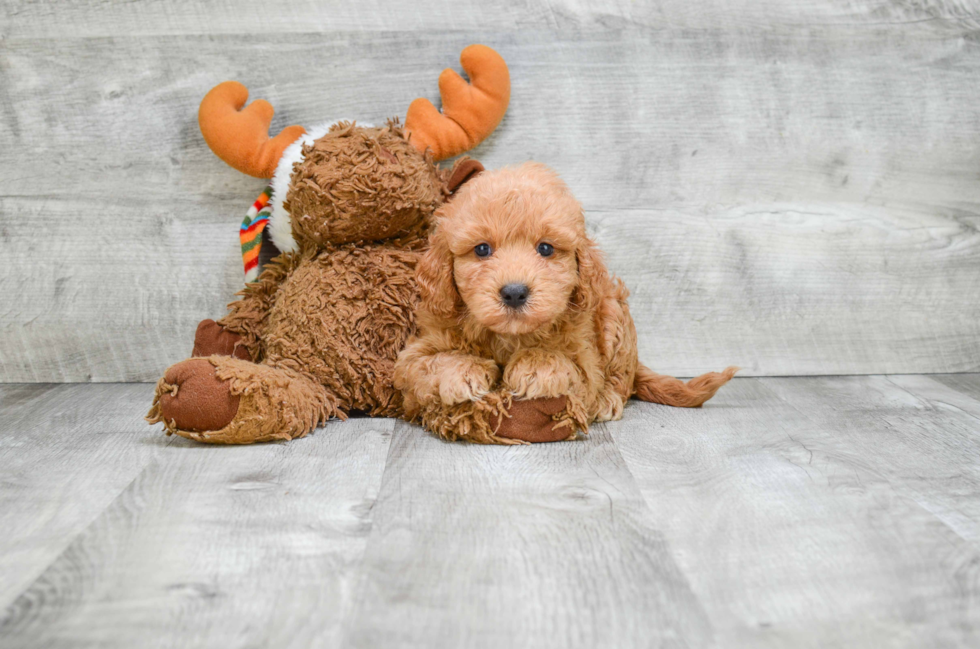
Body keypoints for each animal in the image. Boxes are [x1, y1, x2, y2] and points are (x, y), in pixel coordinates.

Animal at [392, 163, 736, 446]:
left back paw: (610, 398)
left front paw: (535, 367)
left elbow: (565, 364)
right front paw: (463, 372)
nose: (514, 292)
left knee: (621, 377)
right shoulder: (413, 356)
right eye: (481, 249)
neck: (509, 336)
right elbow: (430, 362)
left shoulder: (585, 362)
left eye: (545, 248)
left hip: (615, 314)